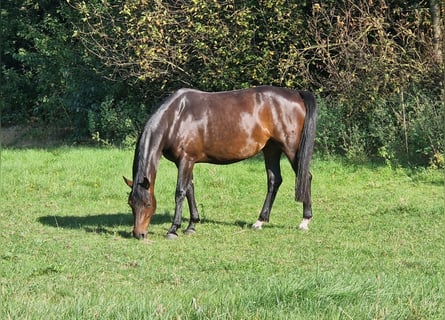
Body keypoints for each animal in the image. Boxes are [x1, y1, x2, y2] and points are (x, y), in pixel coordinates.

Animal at [122, 86, 316, 239]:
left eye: (148, 204)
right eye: (131, 203)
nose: (139, 234)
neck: (176, 117)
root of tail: (297, 94)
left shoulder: (186, 159)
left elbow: (180, 192)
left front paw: (173, 229)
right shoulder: (186, 162)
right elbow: (190, 190)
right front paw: (192, 225)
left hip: (291, 148)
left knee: (305, 177)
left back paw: (305, 221)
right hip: (271, 149)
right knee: (274, 180)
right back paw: (260, 221)